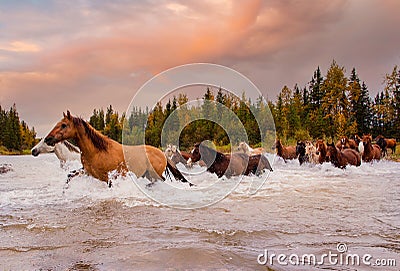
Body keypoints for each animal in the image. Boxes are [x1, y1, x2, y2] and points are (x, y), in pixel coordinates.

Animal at [45, 112, 192, 187]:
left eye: (64, 125)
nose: (47, 139)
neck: (98, 151)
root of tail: (162, 153)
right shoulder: (87, 172)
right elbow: (69, 176)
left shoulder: (109, 177)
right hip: (148, 175)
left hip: (154, 174)